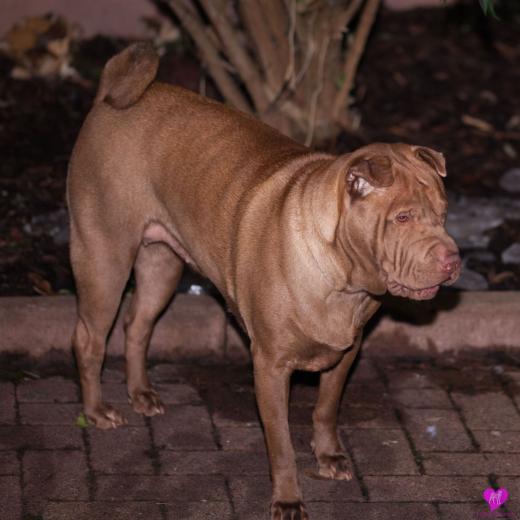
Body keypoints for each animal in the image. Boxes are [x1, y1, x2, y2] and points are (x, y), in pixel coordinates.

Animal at [67, 43, 461, 519]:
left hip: (161, 265)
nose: (453, 258)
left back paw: (140, 392)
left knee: (137, 325)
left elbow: (326, 410)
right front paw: (288, 498)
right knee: (89, 338)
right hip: (104, 259)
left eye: (443, 213)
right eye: (402, 217)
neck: (342, 279)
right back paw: (97, 410)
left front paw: (328, 456)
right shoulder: (270, 366)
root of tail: (109, 97)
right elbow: (282, 445)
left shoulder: (346, 354)